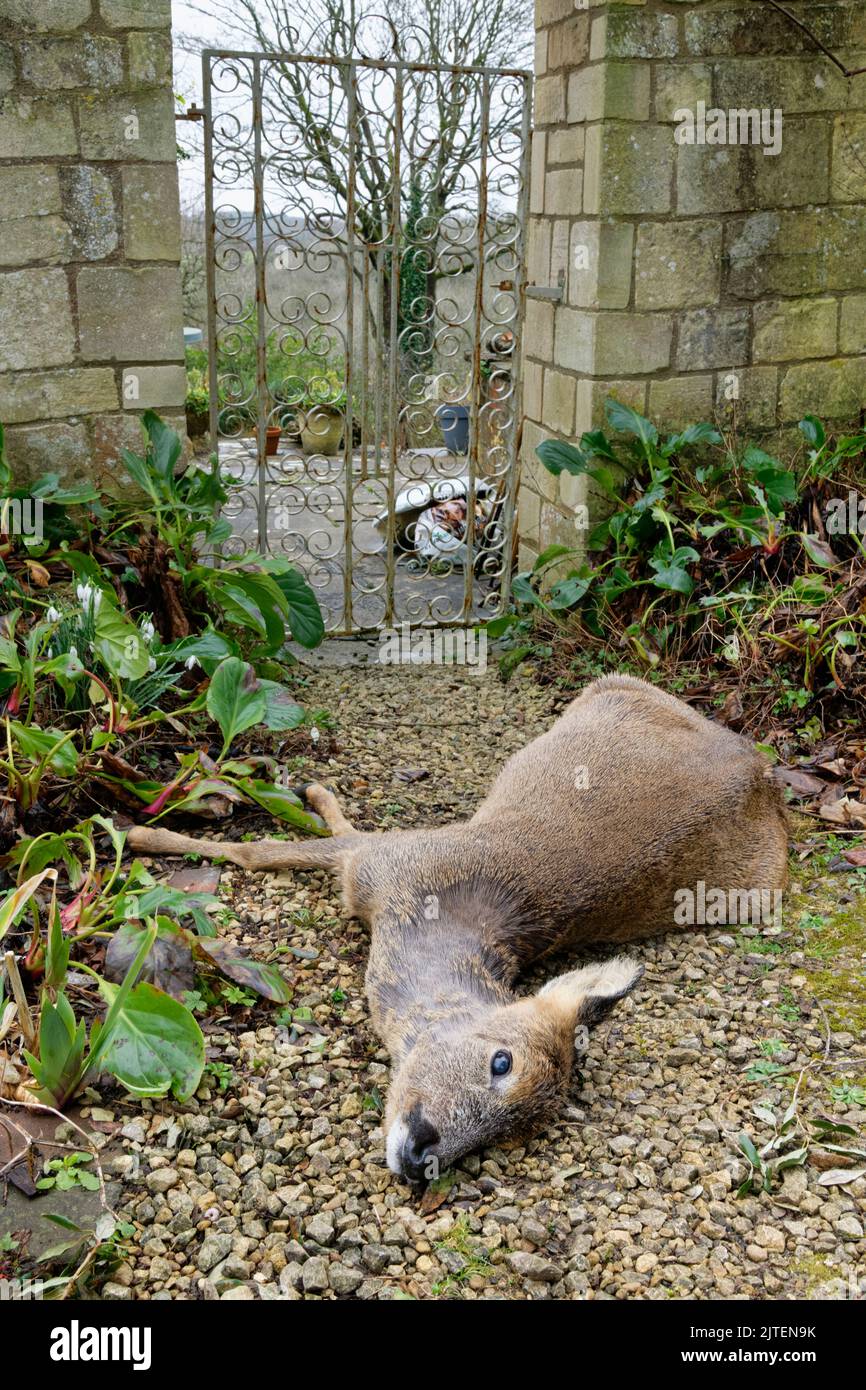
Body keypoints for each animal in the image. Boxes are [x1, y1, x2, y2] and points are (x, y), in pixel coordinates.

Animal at [127, 672, 783, 1184]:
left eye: (509, 1134)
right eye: (501, 1062)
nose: (422, 1159)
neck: (428, 930)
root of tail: (761, 765)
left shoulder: (378, 864)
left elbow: (285, 845)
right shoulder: (389, 862)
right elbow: (258, 849)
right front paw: (141, 834)